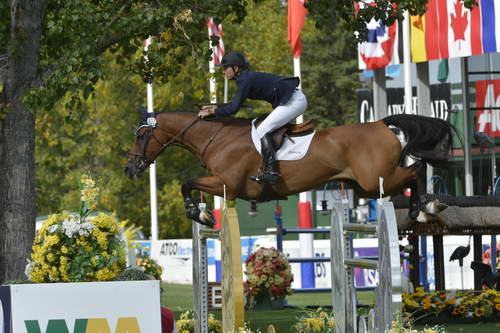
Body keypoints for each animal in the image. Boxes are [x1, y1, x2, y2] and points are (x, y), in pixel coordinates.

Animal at [125, 109, 454, 226]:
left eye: (141, 135)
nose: (131, 169)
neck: (216, 136)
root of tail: (382, 125)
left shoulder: (226, 183)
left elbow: (187, 182)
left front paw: (199, 214)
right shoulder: (224, 185)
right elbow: (189, 184)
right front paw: (202, 213)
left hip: (375, 179)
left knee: (416, 169)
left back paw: (424, 208)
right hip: (366, 186)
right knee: (413, 172)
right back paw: (425, 207)